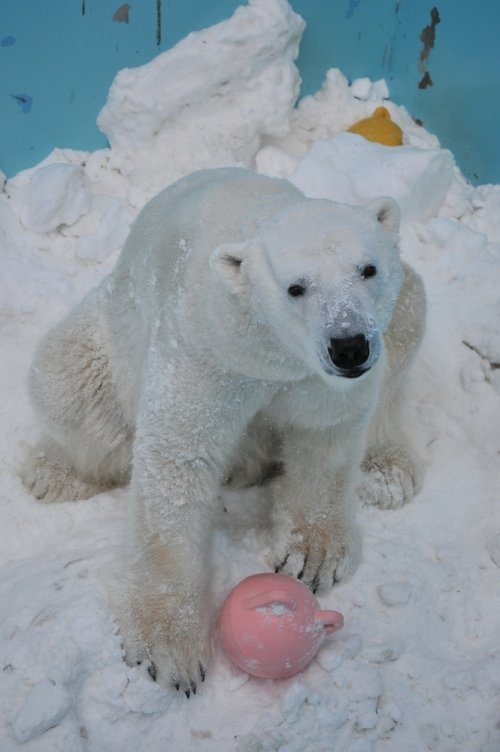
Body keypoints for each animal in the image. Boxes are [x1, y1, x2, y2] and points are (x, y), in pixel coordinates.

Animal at [21, 167, 424, 696]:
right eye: (296, 288)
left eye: (368, 269)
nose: (349, 345)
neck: (273, 349)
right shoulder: (209, 348)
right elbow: (178, 457)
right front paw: (168, 647)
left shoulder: (313, 376)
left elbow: (326, 433)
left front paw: (314, 554)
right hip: (103, 338)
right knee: (66, 383)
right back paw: (50, 473)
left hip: (397, 317)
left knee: (411, 310)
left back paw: (386, 471)